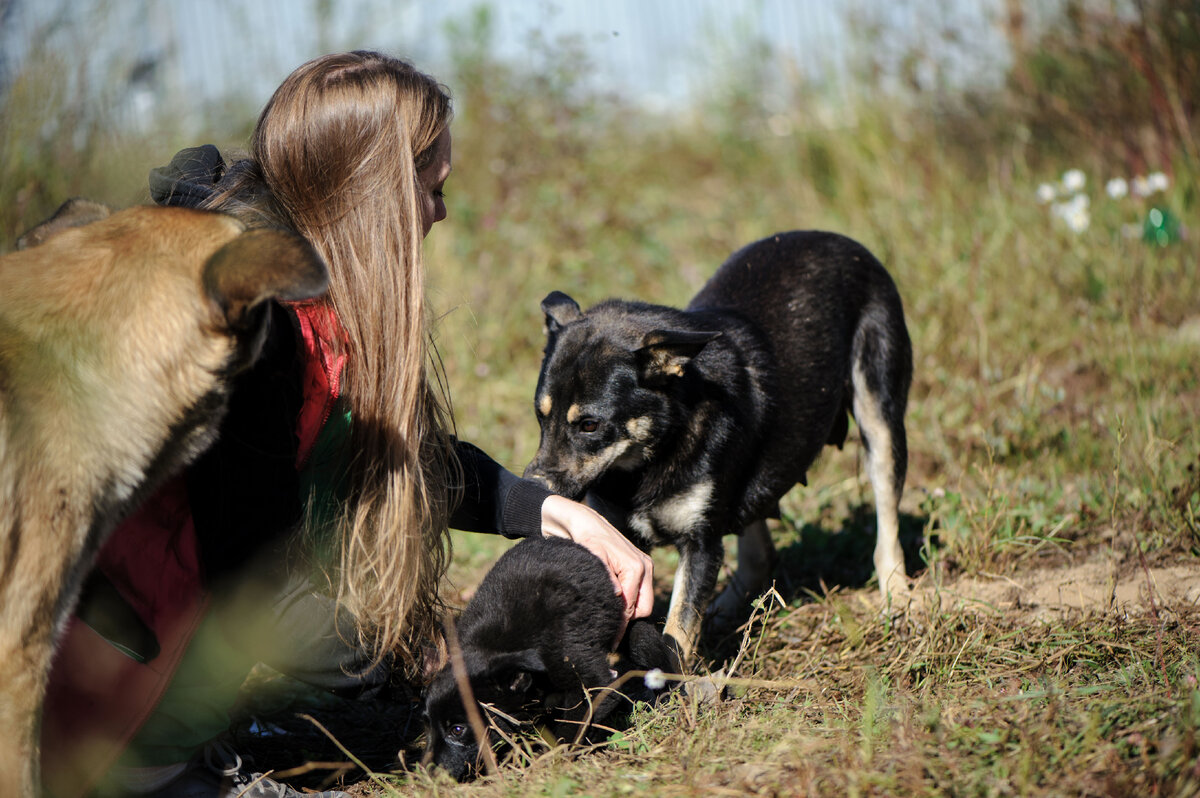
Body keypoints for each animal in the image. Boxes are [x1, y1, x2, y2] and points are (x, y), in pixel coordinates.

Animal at [427, 532, 676, 782]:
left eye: (457, 730)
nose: (428, 774)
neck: (494, 647)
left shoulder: (587, 680)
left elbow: (571, 727)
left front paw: (551, 760)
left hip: (633, 627)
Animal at [523, 231, 907, 667]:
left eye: (589, 425)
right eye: (540, 416)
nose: (532, 487)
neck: (653, 451)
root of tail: (837, 239)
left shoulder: (701, 543)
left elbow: (679, 627)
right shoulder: (620, 540)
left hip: (880, 418)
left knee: (886, 521)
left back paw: (899, 597)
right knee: (758, 554)